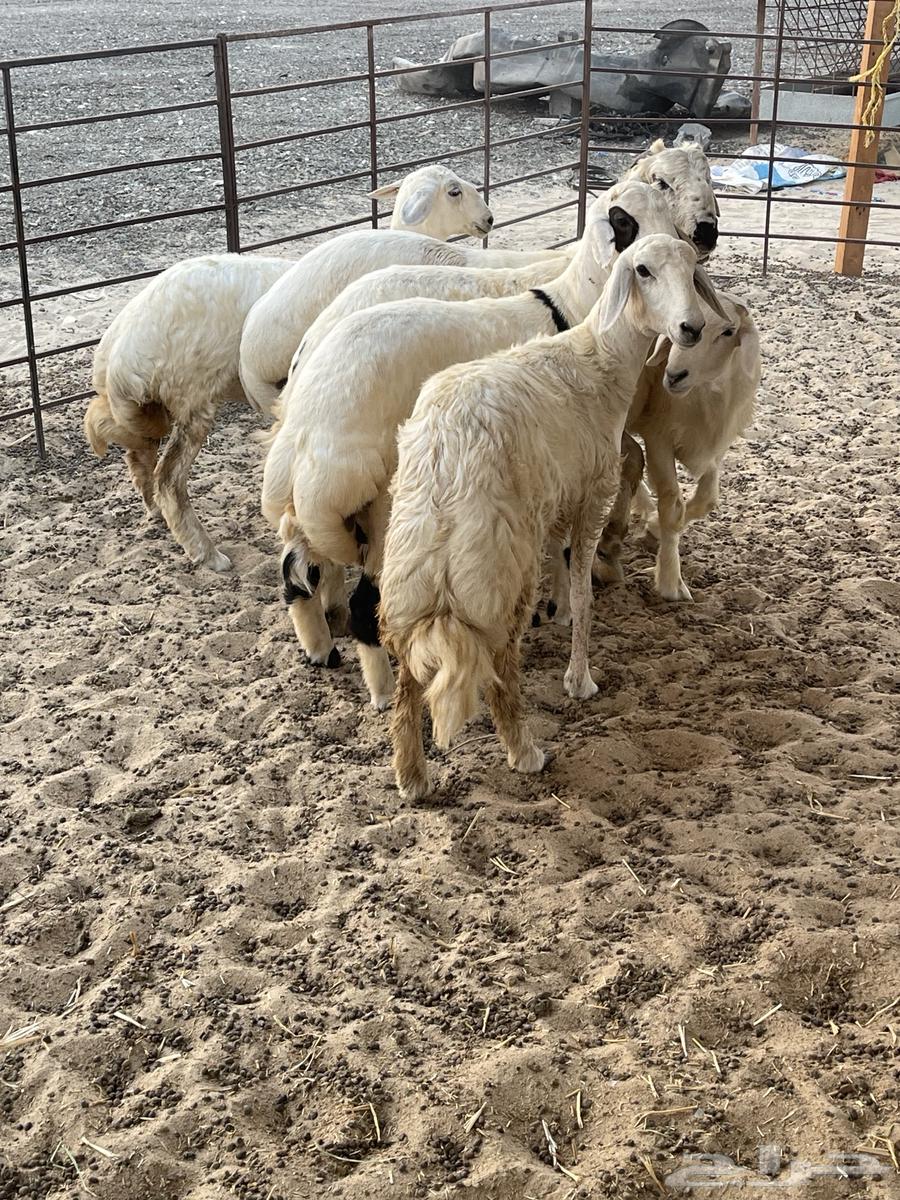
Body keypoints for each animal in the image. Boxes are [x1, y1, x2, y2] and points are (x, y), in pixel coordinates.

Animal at [379, 236, 716, 799]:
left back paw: (412, 777)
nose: (691, 327)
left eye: (694, 271)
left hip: (412, 563)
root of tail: (449, 452)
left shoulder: (557, 504)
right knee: (500, 666)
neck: (602, 360)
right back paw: (525, 752)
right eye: (643, 270)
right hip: (500, 564)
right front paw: (579, 680)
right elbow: (583, 595)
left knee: (408, 676)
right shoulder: (590, 494)